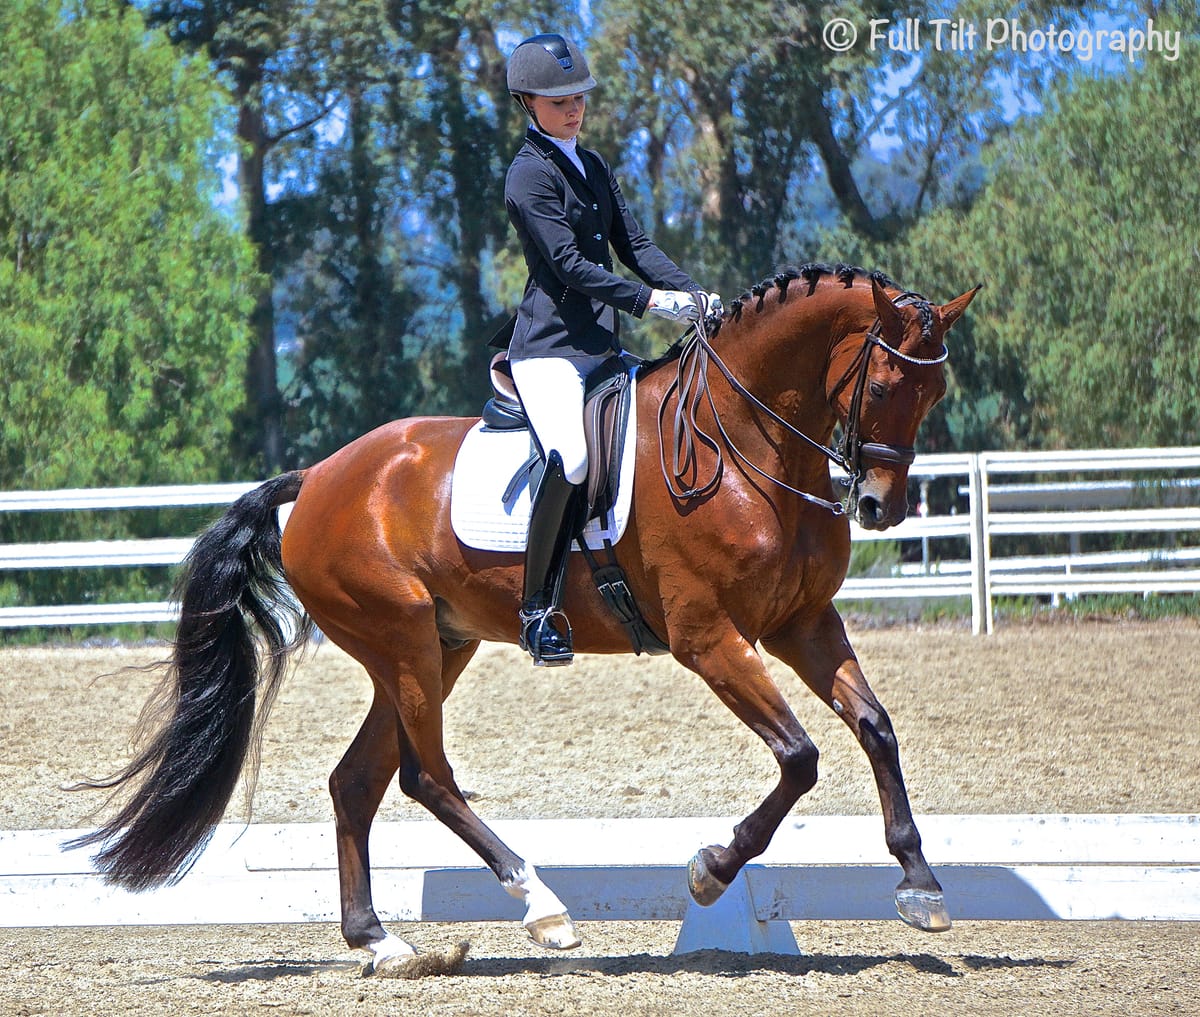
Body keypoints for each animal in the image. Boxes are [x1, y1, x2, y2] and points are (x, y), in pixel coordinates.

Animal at [71, 262, 979, 974]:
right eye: (886, 384)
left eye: (935, 390)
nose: (879, 505)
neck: (746, 441)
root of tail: (320, 476)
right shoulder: (708, 638)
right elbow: (799, 757)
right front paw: (711, 869)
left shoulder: (803, 622)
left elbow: (874, 725)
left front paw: (921, 884)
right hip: (401, 639)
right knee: (427, 776)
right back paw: (543, 907)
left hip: (438, 644)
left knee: (357, 780)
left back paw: (380, 942)